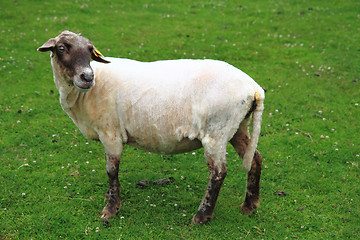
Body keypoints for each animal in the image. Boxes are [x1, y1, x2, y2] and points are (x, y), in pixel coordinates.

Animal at [38, 30, 264, 225]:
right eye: (61, 48)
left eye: (89, 50)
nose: (87, 77)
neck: (82, 95)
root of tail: (254, 88)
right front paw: (110, 196)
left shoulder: (110, 133)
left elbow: (111, 170)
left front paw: (111, 208)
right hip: (237, 127)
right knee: (255, 159)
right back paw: (249, 205)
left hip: (216, 133)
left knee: (218, 173)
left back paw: (202, 216)